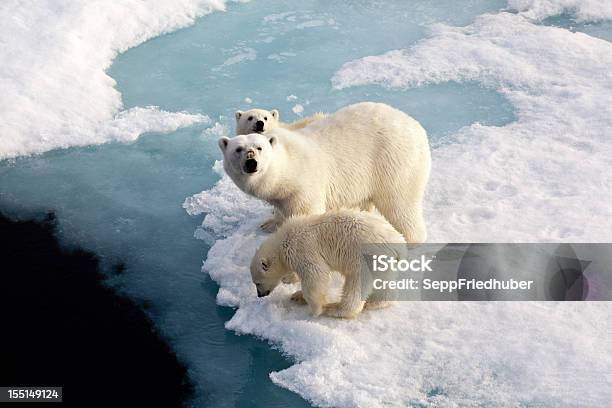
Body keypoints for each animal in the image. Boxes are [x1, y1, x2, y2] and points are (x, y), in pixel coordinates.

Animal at [220, 102, 430, 242]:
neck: (288, 165)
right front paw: (269, 224)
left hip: (394, 161)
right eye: (238, 149)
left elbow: (306, 216)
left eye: (259, 148)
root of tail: (417, 127)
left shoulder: (305, 186)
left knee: (401, 205)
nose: (251, 163)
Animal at [250, 210, 406, 318]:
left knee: (355, 285)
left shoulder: (302, 249)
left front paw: (316, 310)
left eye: (257, 283)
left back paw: (336, 309)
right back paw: (376, 303)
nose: (260, 295)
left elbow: (315, 276)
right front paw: (297, 295)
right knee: (384, 282)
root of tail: (399, 243)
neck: (283, 242)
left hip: (365, 258)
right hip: (383, 261)